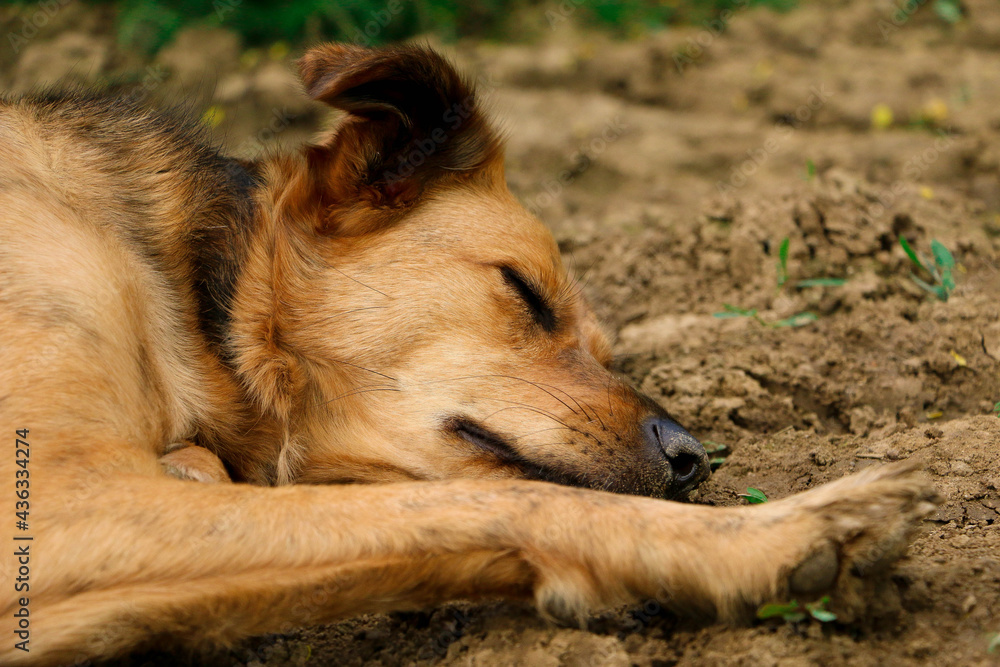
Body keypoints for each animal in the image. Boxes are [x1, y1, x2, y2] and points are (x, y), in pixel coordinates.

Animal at [0, 44, 936, 664]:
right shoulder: (62, 501)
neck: (204, 302)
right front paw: (779, 531)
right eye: (525, 291)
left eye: (606, 344)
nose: (692, 457)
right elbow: (515, 502)